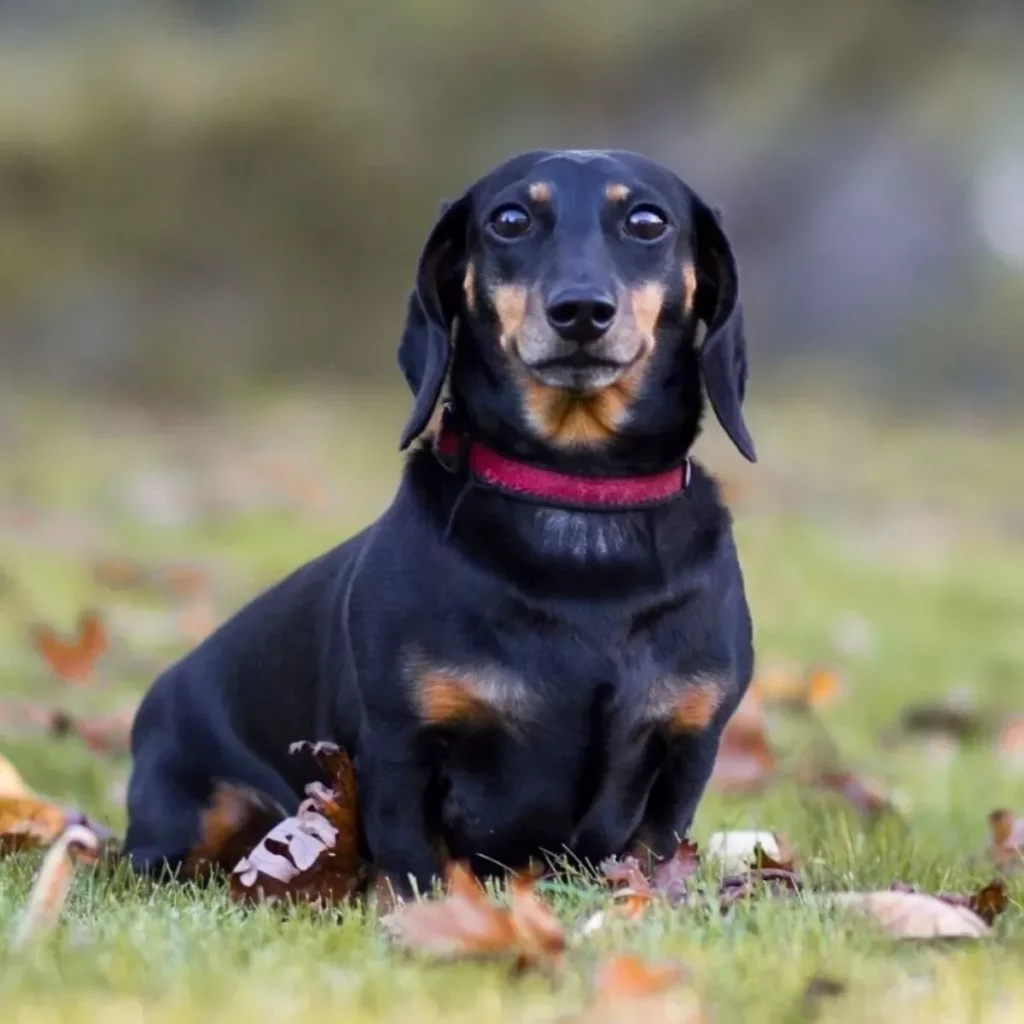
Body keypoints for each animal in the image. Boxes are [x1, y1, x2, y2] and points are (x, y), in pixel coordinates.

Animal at [123, 148, 757, 892]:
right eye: (509, 219)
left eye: (648, 222)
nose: (579, 310)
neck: (576, 496)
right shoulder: (402, 746)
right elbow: (419, 868)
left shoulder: (687, 748)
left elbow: (650, 856)